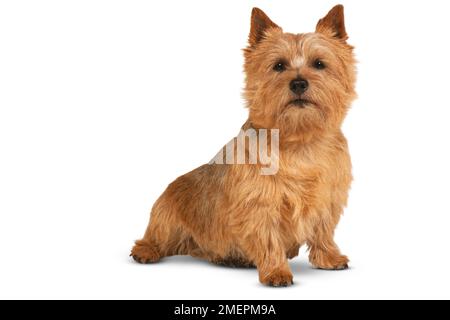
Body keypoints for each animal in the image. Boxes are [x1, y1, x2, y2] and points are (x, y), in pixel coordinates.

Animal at [130, 3, 356, 286]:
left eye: (319, 64)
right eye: (278, 65)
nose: (299, 82)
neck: (299, 140)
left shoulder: (329, 198)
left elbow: (323, 230)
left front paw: (329, 258)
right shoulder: (260, 203)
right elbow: (268, 239)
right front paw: (276, 272)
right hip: (166, 215)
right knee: (155, 238)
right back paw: (146, 251)